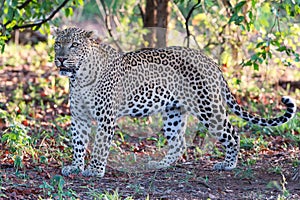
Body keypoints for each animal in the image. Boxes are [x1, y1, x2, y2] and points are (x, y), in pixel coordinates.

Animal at [54, 27, 298, 177]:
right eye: (58, 44)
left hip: (208, 108)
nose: (61, 59)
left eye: (74, 45)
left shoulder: (106, 118)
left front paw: (95, 170)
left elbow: (99, 146)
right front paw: (75, 167)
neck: (80, 77)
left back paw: (228, 164)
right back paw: (160, 164)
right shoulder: (79, 118)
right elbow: (78, 143)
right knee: (179, 142)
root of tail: (211, 61)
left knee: (232, 133)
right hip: (174, 111)